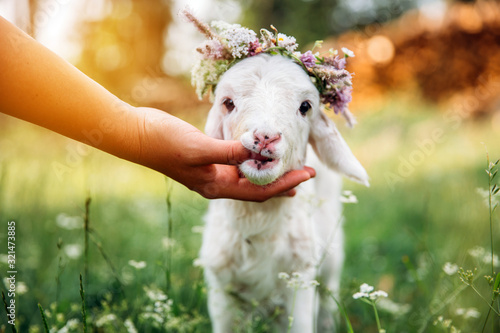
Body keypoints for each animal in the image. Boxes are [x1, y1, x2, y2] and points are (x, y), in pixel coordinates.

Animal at [197, 53, 370, 330]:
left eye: (305, 107)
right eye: (228, 103)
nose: (265, 137)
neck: (258, 221)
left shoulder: (299, 285)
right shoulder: (222, 294)